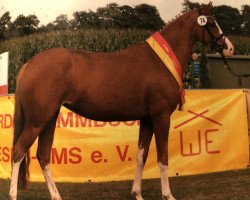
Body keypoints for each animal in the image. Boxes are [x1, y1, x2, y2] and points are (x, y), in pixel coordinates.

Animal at [9, 3, 232, 200]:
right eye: (212, 22)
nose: (229, 47)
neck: (160, 61)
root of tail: (28, 64)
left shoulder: (147, 119)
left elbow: (142, 156)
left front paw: (137, 193)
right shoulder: (161, 117)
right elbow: (163, 158)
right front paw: (168, 195)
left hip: (49, 118)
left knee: (43, 155)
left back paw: (56, 195)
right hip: (37, 121)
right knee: (19, 151)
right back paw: (13, 194)